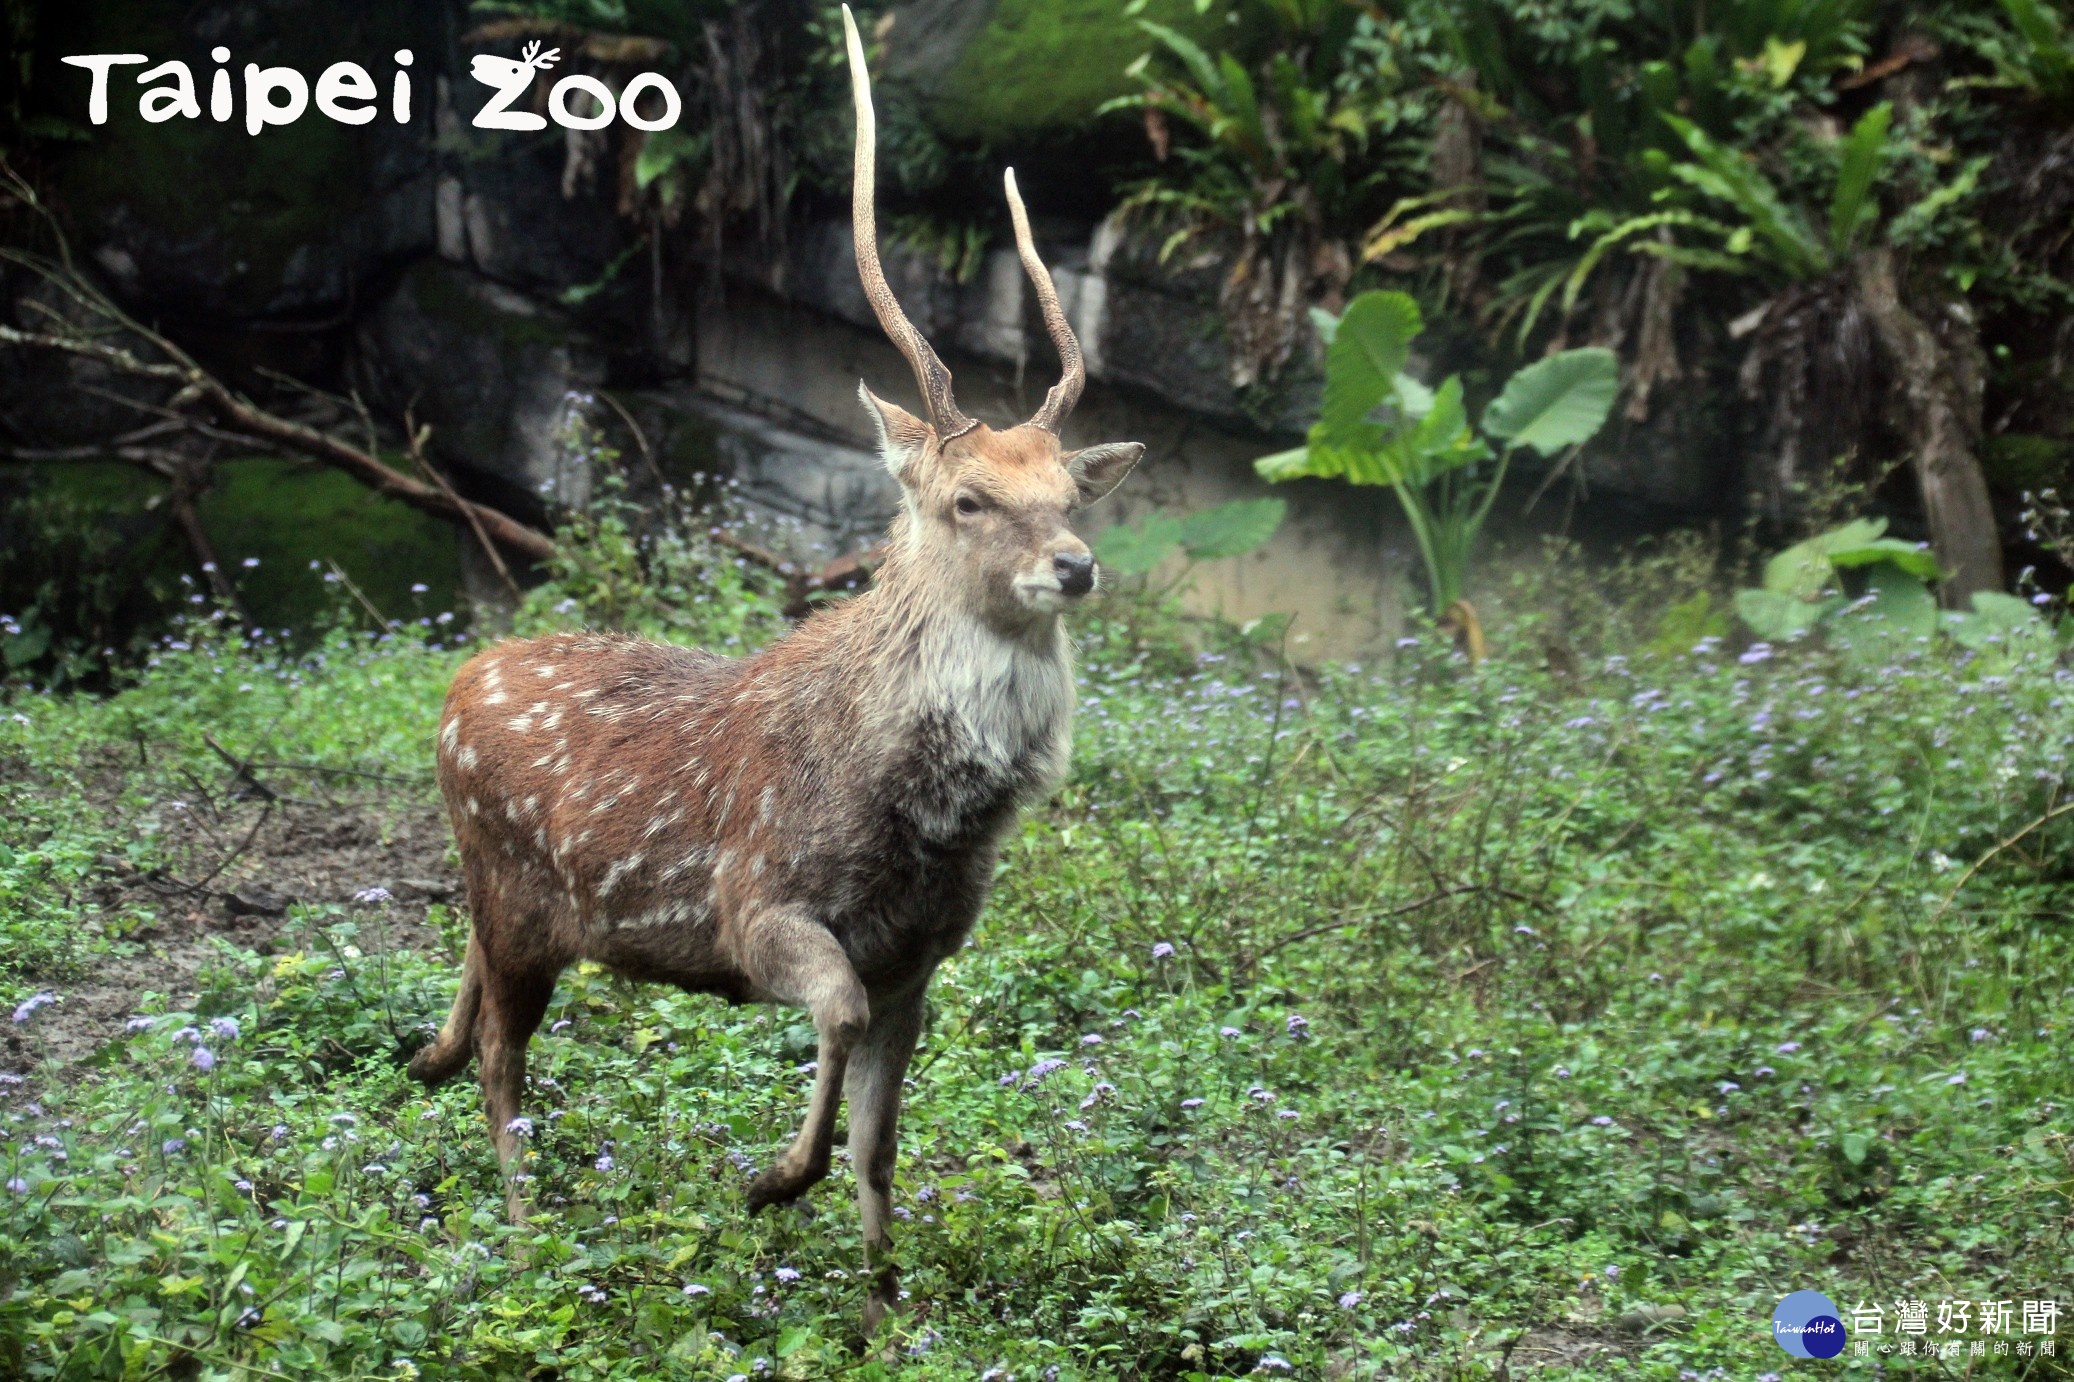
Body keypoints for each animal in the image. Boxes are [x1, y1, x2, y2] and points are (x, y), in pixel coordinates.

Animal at [408, 5, 1153, 1328]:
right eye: (968, 497)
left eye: (1072, 493)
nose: (1073, 566)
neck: (920, 825)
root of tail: (455, 680)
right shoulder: (757, 906)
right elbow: (835, 1020)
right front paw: (765, 1182)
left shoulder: (926, 954)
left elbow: (881, 1139)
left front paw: (885, 1301)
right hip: (513, 898)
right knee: (500, 1057)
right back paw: (527, 1236)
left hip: (504, 909)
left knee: (470, 1025)